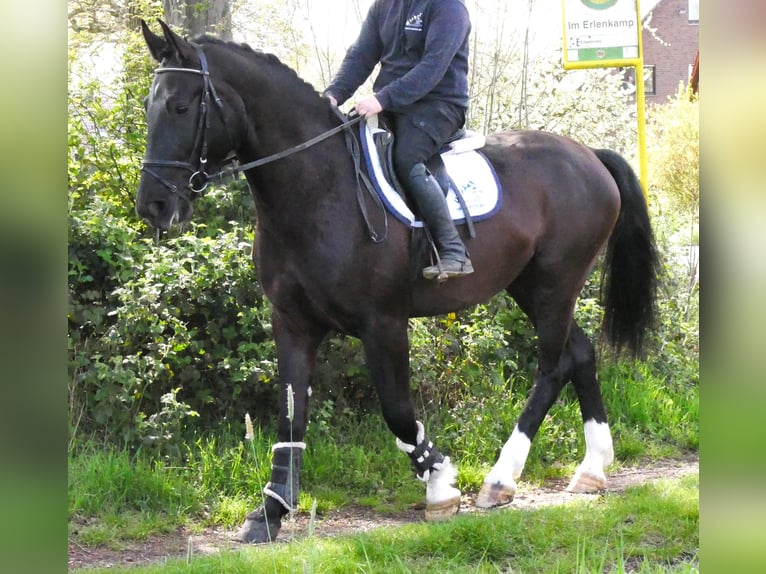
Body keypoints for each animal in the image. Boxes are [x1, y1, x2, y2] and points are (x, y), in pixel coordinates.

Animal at [135, 20, 659, 543]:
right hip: (531, 287)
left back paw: (500, 479)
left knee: (552, 368)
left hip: (555, 284)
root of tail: (588, 155)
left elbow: (397, 410)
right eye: (149, 106)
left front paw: (441, 485)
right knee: (580, 354)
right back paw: (592, 468)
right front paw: (269, 511)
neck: (319, 188)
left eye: (181, 107)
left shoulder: (383, 323)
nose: (153, 205)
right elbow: (290, 419)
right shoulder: (293, 324)